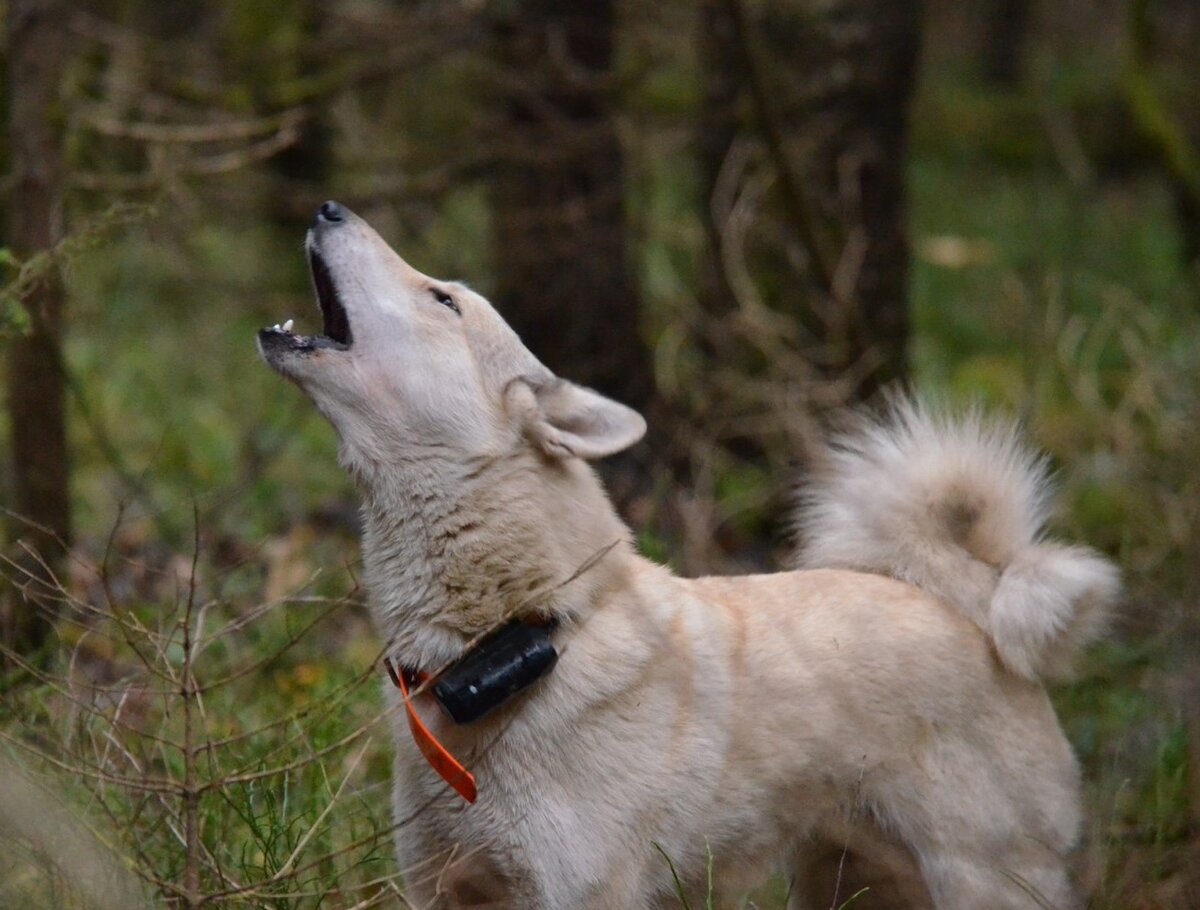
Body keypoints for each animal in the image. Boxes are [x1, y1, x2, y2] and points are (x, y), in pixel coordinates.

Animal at [258, 202, 1118, 907]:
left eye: (443, 299)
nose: (328, 206)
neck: (522, 628)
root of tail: (974, 608)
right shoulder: (444, 889)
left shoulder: (583, 895)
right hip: (853, 881)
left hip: (983, 880)